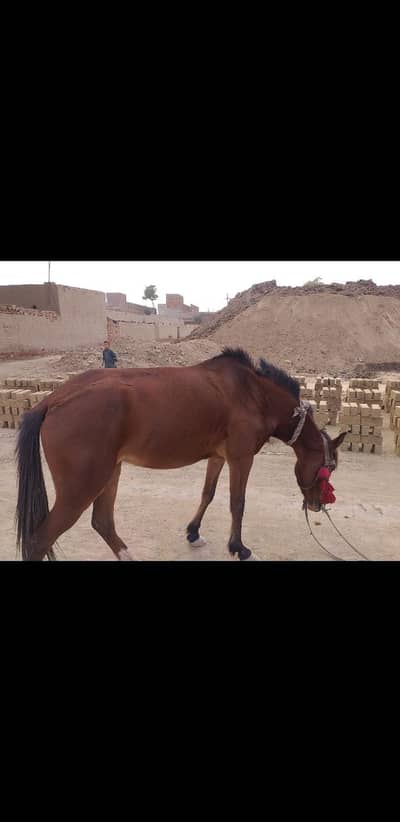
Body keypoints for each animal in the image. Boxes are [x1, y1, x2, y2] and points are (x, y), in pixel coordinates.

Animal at [15, 348, 346, 561]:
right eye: (328, 467)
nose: (318, 505)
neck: (254, 394)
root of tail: (53, 400)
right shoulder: (241, 458)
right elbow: (237, 503)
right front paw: (239, 548)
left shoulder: (218, 457)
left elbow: (208, 494)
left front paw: (193, 533)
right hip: (82, 488)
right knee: (38, 541)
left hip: (110, 473)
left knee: (102, 522)